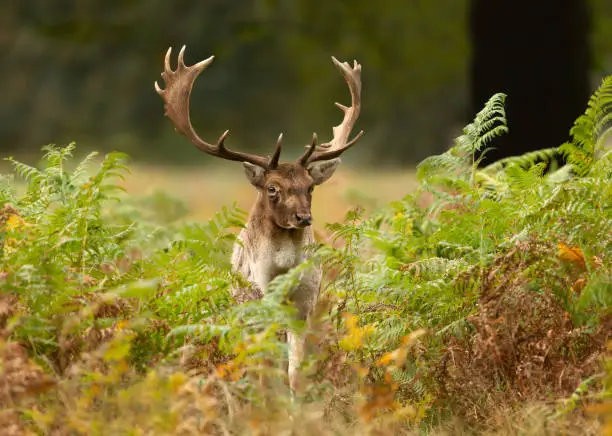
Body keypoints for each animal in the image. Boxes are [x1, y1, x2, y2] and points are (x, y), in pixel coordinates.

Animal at [154, 46, 364, 394]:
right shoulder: (260, 301)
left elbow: (295, 372)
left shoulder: (305, 304)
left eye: (310, 186)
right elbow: (266, 368)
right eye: (272, 187)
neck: (283, 271)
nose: (303, 217)